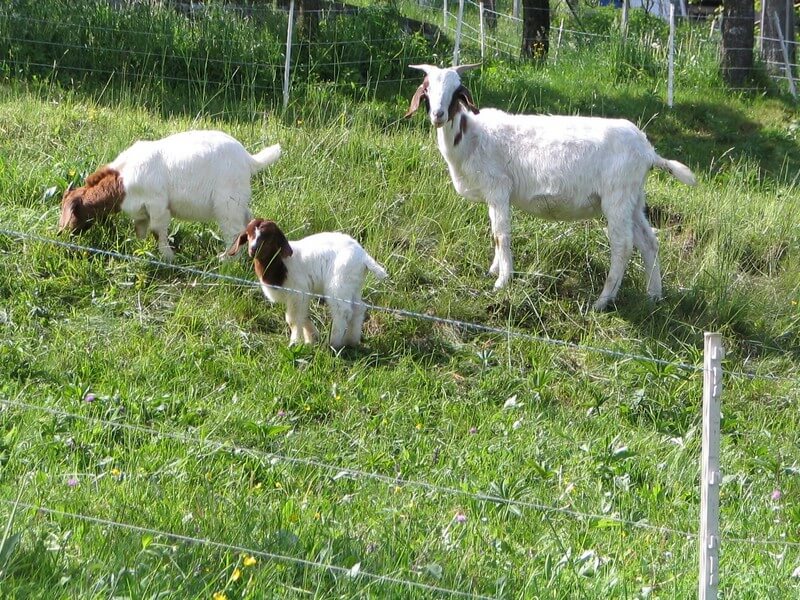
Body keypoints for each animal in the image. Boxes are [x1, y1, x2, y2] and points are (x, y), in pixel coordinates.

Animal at [57, 130, 282, 258]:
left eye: (71, 212)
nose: (61, 233)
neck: (122, 181)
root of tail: (249, 159)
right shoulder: (141, 211)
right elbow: (140, 229)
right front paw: (140, 249)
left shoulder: (157, 204)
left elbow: (157, 230)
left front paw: (167, 257)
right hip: (238, 201)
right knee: (247, 221)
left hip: (227, 203)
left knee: (233, 231)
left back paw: (225, 261)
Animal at [227, 219, 390, 350]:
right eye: (248, 235)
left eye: (269, 237)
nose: (253, 250)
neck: (280, 263)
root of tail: (364, 257)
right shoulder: (300, 295)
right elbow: (302, 315)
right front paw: (312, 338)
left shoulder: (298, 291)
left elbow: (292, 319)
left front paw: (294, 343)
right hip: (353, 284)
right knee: (358, 308)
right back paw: (351, 341)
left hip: (339, 283)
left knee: (342, 311)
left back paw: (334, 343)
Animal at [404, 64, 696, 310]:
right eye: (427, 89)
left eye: (456, 92)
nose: (438, 115)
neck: (471, 137)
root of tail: (648, 151)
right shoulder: (492, 195)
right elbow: (495, 233)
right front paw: (494, 270)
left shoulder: (498, 188)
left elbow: (501, 235)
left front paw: (502, 281)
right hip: (634, 198)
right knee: (649, 243)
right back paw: (653, 297)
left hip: (618, 196)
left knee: (622, 245)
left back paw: (602, 301)